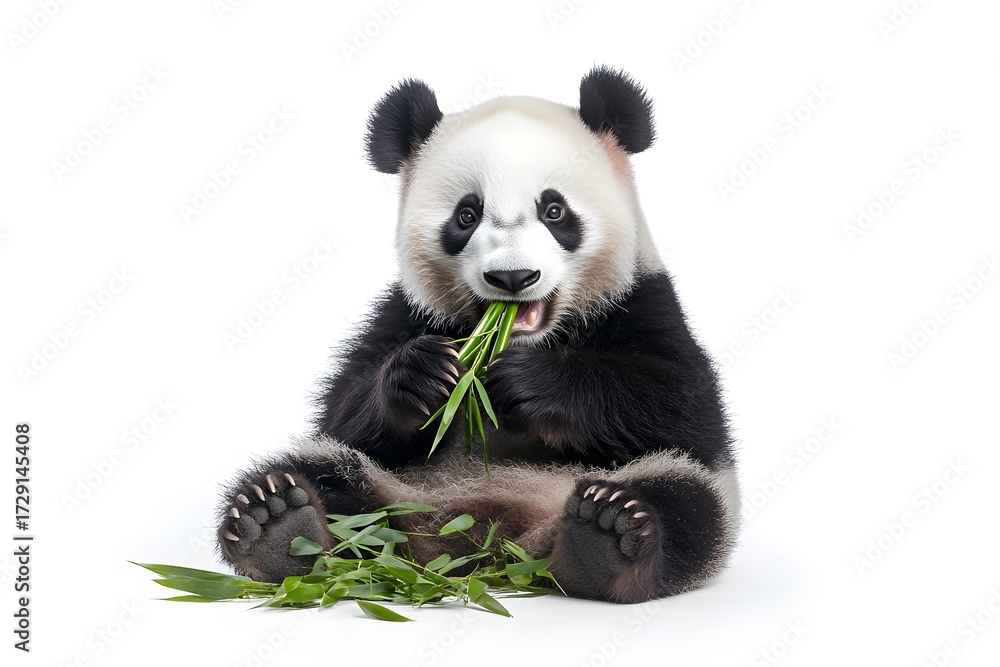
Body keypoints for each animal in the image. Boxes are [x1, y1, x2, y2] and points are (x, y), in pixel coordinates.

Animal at [216, 66, 739, 604]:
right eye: (466, 215)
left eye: (554, 211)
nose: (513, 277)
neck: (521, 340)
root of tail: (483, 550)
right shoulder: (407, 313)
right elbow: (343, 415)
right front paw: (423, 375)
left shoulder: (642, 302)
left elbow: (684, 410)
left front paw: (530, 384)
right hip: (391, 494)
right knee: (320, 469)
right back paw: (275, 524)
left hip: (653, 491)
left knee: (684, 501)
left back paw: (607, 538)